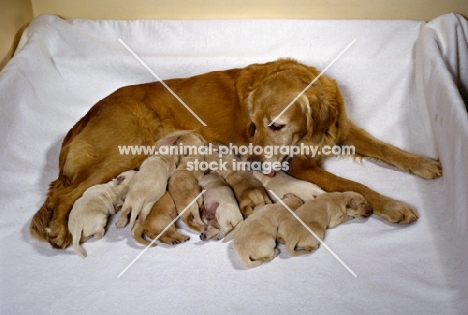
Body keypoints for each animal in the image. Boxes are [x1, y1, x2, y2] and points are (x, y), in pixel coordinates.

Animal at [30, 58, 442, 249]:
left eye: (274, 125)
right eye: (252, 126)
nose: (254, 164)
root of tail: (90, 110)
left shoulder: (340, 128)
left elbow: (385, 148)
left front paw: (423, 163)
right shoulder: (304, 166)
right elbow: (356, 183)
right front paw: (394, 205)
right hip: (124, 150)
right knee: (65, 192)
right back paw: (59, 230)